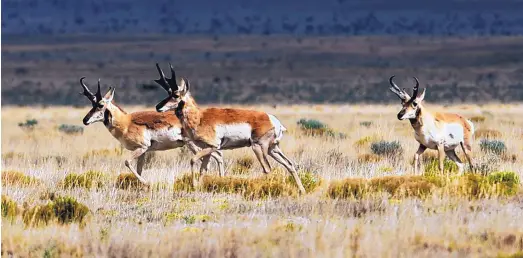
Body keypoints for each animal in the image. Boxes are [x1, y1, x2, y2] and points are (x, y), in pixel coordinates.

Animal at [79, 77, 224, 182]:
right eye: (92, 104)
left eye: (100, 105)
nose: (85, 120)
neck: (126, 122)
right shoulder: (144, 152)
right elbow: (139, 169)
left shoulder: (141, 148)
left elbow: (127, 162)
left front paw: (146, 183)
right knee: (218, 156)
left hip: (193, 145)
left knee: (212, 158)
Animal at [152, 63, 308, 195]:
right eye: (168, 93)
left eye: (175, 95)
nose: (157, 107)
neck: (200, 117)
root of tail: (272, 119)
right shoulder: (208, 149)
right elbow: (203, 170)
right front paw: (198, 188)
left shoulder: (213, 146)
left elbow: (192, 160)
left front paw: (194, 186)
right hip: (273, 148)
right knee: (289, 164)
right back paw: (302, 191)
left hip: (258, 147)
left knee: (267, 168)